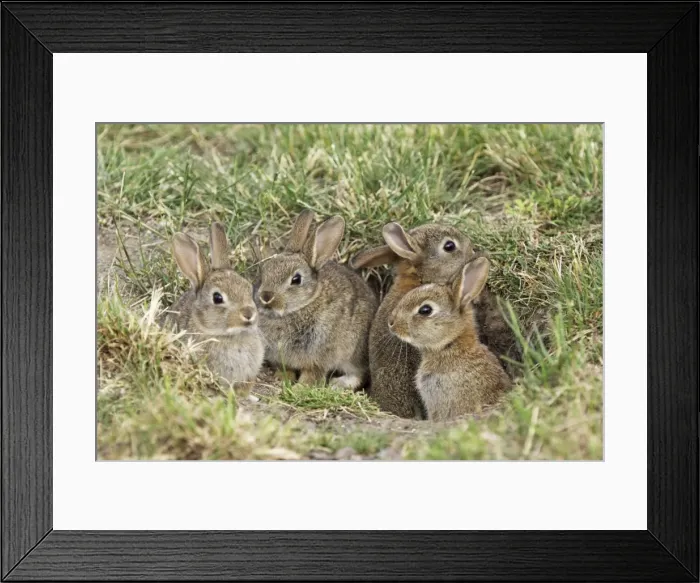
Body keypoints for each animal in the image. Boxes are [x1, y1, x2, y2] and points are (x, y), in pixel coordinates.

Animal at [253, 210, 378, 390]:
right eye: (263, 272)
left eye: (296, 279)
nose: (265, 297)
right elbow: (287, 368)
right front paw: (282, 379)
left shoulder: (319, 355)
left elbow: (313, 374)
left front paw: (299, 388)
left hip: (355, 352)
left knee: (360, 374)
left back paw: (338, 384)